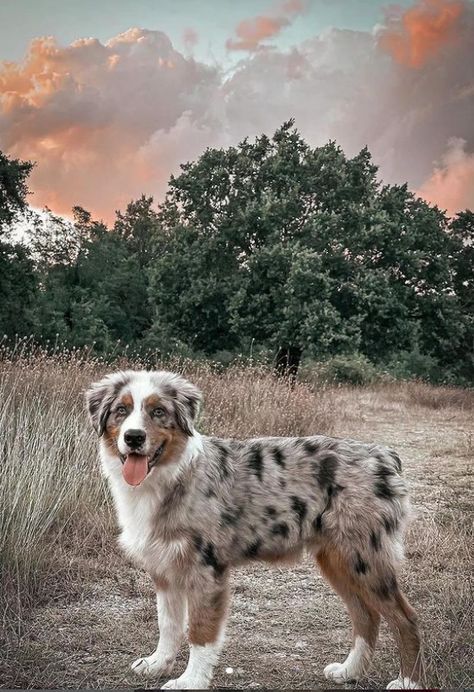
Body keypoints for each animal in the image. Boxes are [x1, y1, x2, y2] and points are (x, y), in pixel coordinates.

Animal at [87, 370, 424, 688]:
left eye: (158, 412)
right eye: (120, 410)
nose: (133, 437)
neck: (170, 477)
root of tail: (384, 455)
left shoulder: (206, 570)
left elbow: (200, 632)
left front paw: (190, 681)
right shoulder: (164, 567)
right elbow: (168, 625)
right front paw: (158, 664)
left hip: (365, 557)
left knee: (405, 618)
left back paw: (408, 681)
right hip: (338, 559)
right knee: (366, 616)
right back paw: (349, 671)